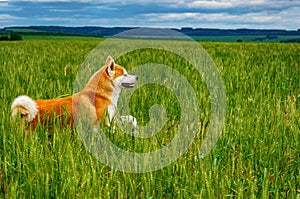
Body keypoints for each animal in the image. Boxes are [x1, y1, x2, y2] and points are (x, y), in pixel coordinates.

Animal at [11, 56, 139, 135]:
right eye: (125, 74)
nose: (137, 77)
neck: (100, 93)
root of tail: (25, 111)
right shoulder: (103, 123)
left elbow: (130, 118)